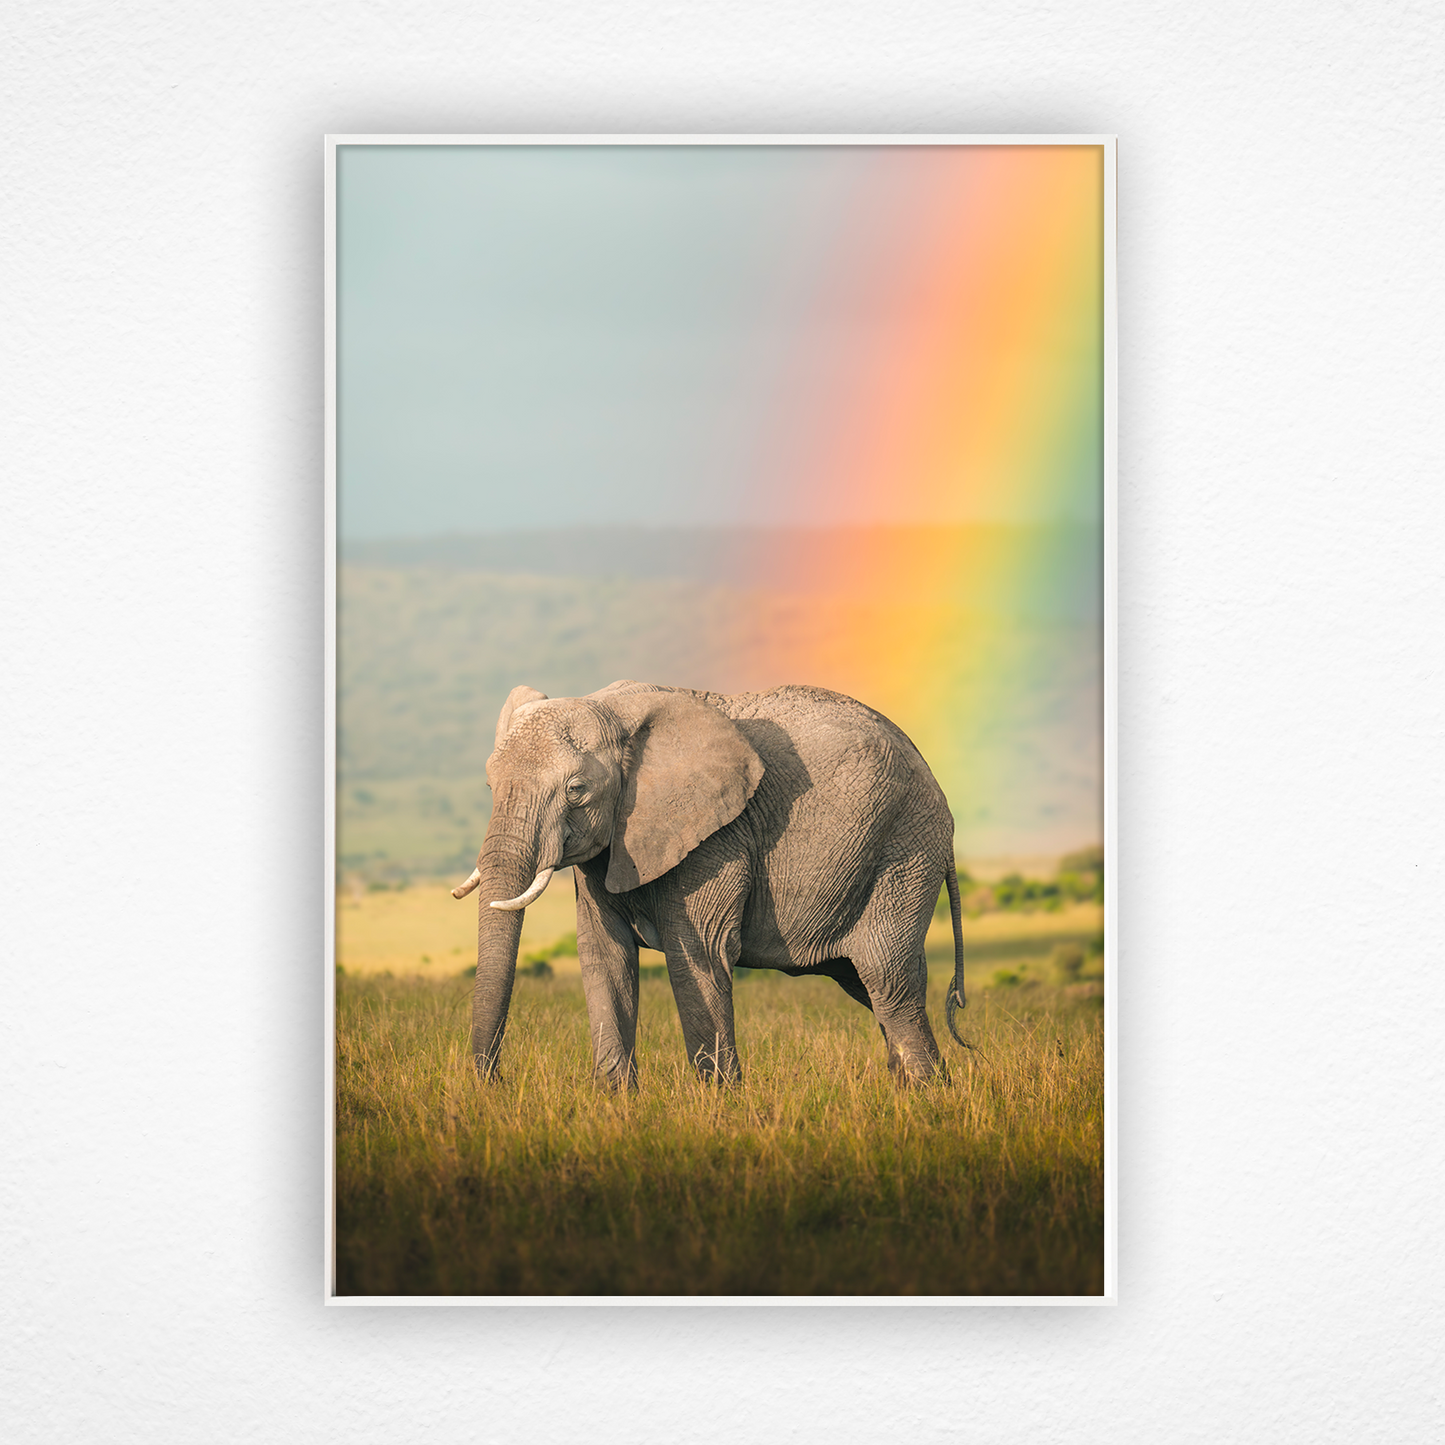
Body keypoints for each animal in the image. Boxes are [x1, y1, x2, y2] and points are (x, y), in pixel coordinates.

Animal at [451, 679, 968, 1089]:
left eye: (576, 790)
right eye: (490, 785)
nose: (495, 1082)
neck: (610, 706)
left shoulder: (716, 838)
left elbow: (698, 954)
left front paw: (719, 1104)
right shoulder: (607, 848)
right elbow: (603, 954)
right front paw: (616, 1104)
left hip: (904, 848)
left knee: (887, 979)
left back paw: (926, 1098)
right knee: (867, 981)